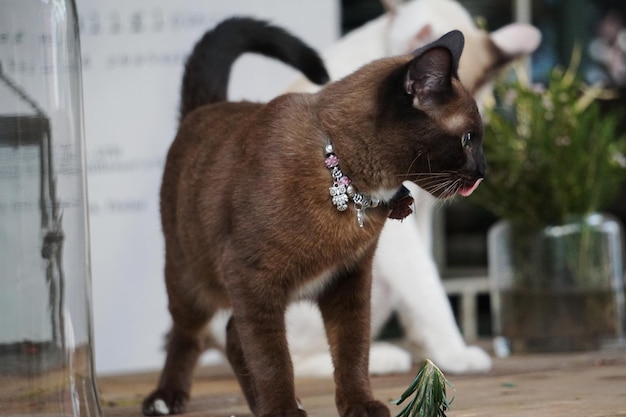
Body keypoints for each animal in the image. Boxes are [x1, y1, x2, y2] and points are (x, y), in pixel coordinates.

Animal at [144, 16, 486, 416]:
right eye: (468, 138)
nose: (484, 172)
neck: (345, 181)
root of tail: (204, 109)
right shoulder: (252, 280)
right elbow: (273, 359)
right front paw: (282, 411)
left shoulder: (349, 281)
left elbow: (353, 354)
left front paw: (359, 405)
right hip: (191, 282)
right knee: (188, 335)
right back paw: (166, 398)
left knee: (230, 335)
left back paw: (258, 405)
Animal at [207, 0, 540, 374]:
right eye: (466, 137)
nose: (481, 172)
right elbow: (428, 286)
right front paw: (455, 353)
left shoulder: (419, 212)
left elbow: (423, 285)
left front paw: (432, 352)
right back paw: (380, 357)